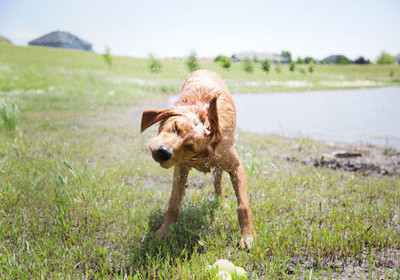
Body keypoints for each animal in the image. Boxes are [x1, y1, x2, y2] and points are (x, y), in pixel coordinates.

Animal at [141, 69, 253, 248]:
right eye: (175, 127)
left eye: (190, 146)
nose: (163, 152)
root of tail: (206, 69)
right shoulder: (180, 169)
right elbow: (174, 202)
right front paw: (165, 230)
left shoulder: (235, 166)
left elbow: (243, 204)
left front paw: (247, 235)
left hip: (221, 165)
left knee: (218, 181)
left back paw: (221, 202)